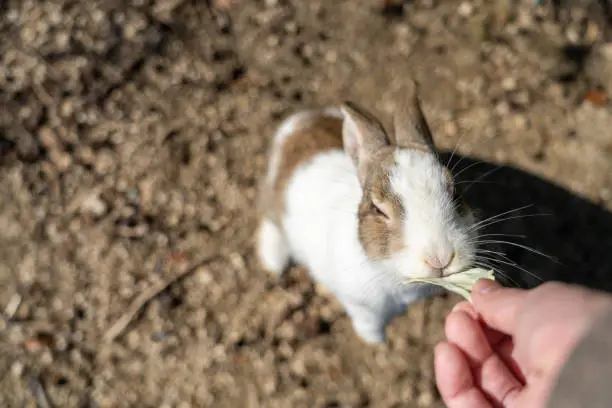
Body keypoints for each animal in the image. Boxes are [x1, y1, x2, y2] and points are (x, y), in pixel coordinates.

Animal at [253, 78, 478, 342]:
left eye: (454, 192)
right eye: (378, 210)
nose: (440, 257)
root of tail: (297, 123)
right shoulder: (361, 307)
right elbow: (369, 324)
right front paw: (377, 341)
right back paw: (273, 261)